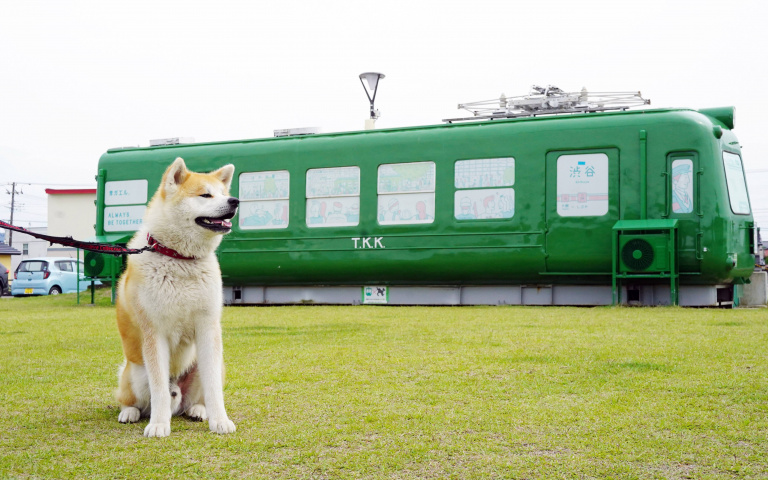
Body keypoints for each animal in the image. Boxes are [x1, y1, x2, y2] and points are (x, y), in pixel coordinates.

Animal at [114, 158, 237, 438]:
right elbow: (159, 390)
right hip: (135, 373)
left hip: (203, 364)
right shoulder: (154, 333)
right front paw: (159, 424)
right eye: (205, 195)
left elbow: (214, 389)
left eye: (223, 193)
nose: (235, 201)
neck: (180, 258)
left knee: (192, 402)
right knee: (133, 401)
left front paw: (220, 420)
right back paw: (130, 413)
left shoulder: (208, 327)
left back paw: (198, 411)